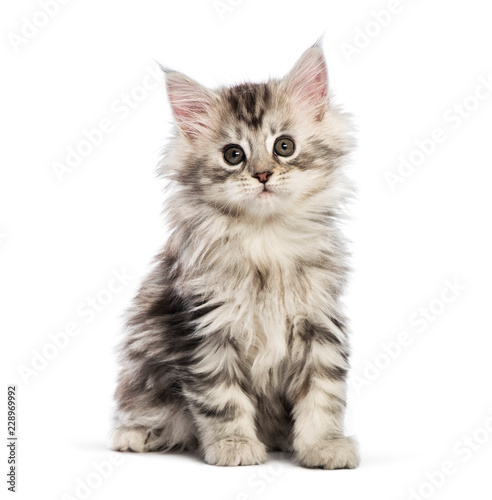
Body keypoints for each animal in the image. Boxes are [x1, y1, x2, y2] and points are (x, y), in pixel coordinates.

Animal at [111, 43, 360, 468]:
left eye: (284, 146)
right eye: (233, 155)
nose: (262, 174)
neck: (264, 237)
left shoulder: (319, 323)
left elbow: (323, 395)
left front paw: (324, 446)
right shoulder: (205, 329)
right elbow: (221, 399)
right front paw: (234, 446)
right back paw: (135, 435)